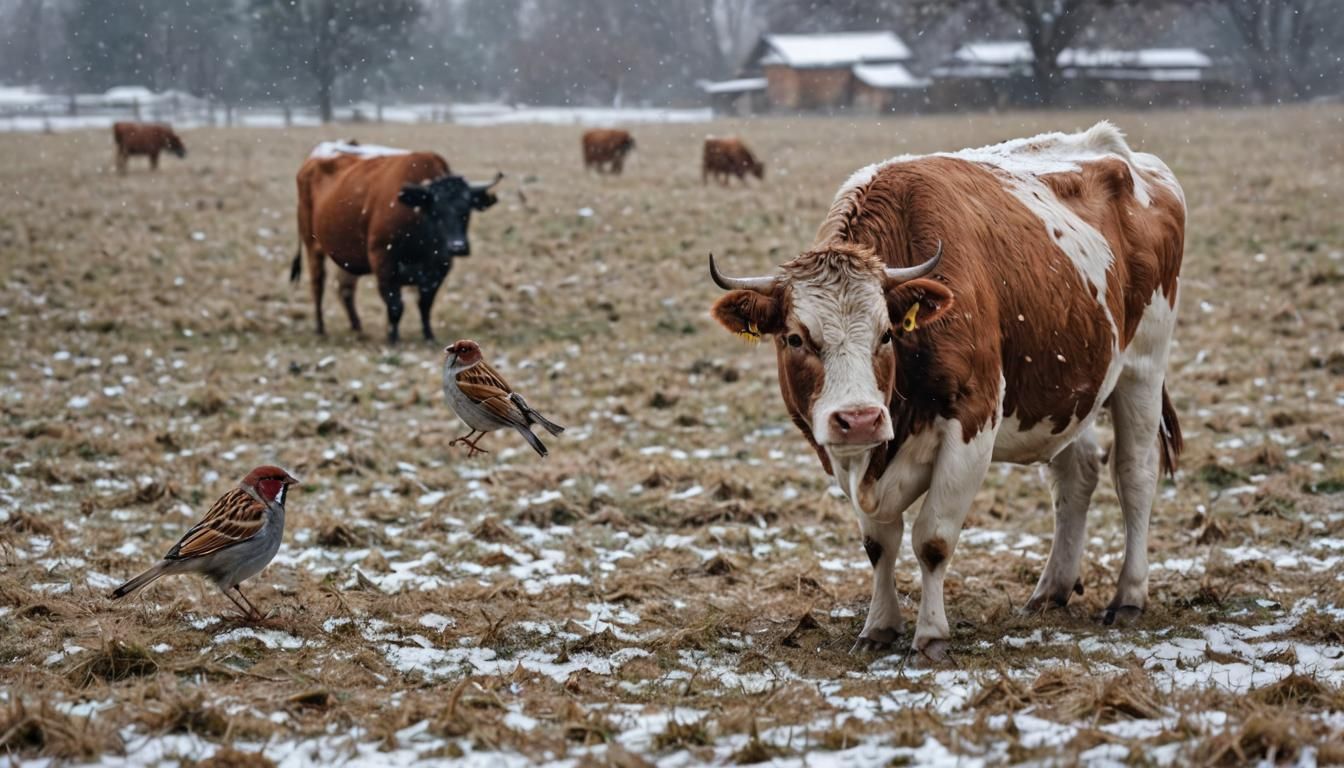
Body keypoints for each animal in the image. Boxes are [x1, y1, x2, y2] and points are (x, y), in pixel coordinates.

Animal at [291, 141, 502, 344]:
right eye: (436, 210)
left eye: (466, 211)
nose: (457, 246)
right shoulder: (384, 261)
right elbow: (395, 305)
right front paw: (393, 338)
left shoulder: (439, 268)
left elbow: (425, 304)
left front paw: (429, 336)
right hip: (313, 246)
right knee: (318, 285)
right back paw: (320, 328)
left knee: (345, 289)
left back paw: (357, 327)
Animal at [707, 122, 1184, 662]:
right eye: (795, 338)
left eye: (886, 334)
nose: (859, 419)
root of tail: (1128, 156)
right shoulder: (844, 453)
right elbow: (879, 545)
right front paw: (879, 627)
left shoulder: (973, 422)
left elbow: (932, 540)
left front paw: (930, 635)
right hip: (1068, 391)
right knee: (1077, 475)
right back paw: (1050, 591)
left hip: (1142, 369)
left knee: (1135, 476)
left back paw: (1129, 596)